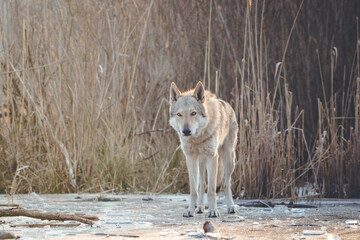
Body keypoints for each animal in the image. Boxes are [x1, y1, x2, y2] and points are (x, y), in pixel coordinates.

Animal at [169, 81, 239, 218]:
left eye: (193, 113)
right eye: (179, 114)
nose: (186, 131)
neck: (197, 138)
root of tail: (227, 104)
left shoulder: (212, 157)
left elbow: (212, 190)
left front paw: (213, 211)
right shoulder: (190, 158)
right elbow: (194, 190)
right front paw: (190, 210)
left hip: (229, 159)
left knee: (226, 184)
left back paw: (231, 207)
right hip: (201, 162)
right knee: (202, 184)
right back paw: (200, 207)